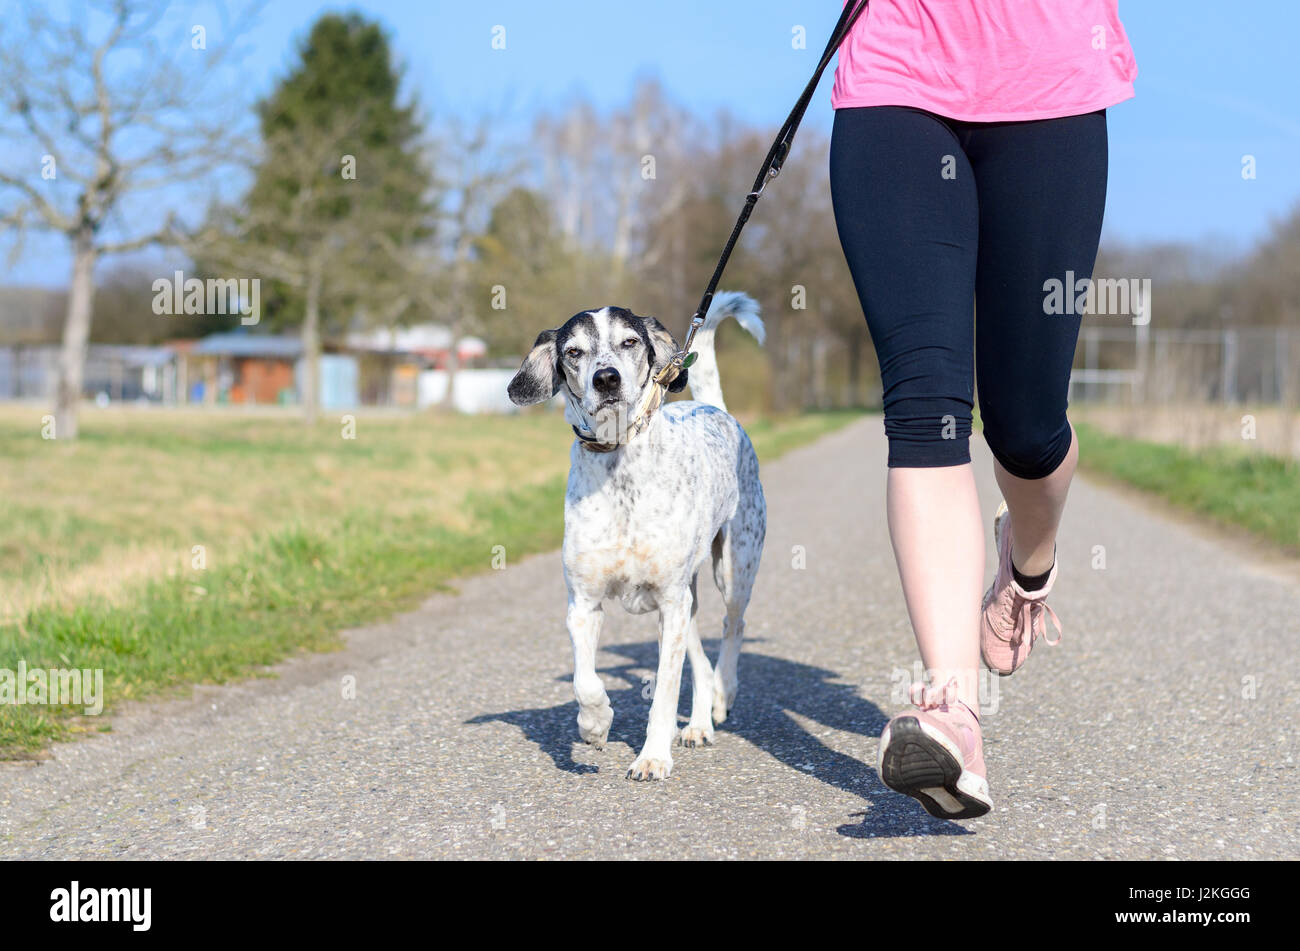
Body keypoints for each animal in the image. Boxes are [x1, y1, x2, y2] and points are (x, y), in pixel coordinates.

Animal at [506, 291, 764, 779]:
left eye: (629, 341)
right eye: (574, 352)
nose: (606, 378)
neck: (619, 467)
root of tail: (718, 409)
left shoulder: (670, 602)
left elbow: (663, 692)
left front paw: (652, 757)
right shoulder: (584, 604)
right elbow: (584, 680)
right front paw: (595, 724)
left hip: (731, 570)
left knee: (732, 627)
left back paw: (724, 694)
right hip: (686, 604)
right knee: (700, 664)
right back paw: (698, 724)